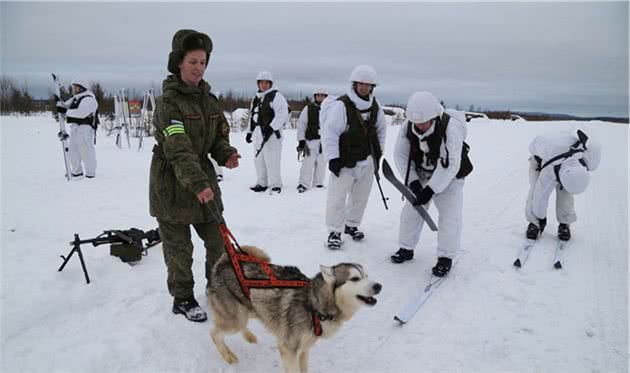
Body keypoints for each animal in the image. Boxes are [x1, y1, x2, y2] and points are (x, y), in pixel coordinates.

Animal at [210, 246, 382, 370]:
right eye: (355, 278)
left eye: (366, 276)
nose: (379, 286)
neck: (313, 305)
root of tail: (225, 261)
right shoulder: (288, 350)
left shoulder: (305, 349)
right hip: (236, 319)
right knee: (214, 333)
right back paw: (228, 355)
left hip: (252, 310)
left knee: (241, 325)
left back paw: (249, 336)